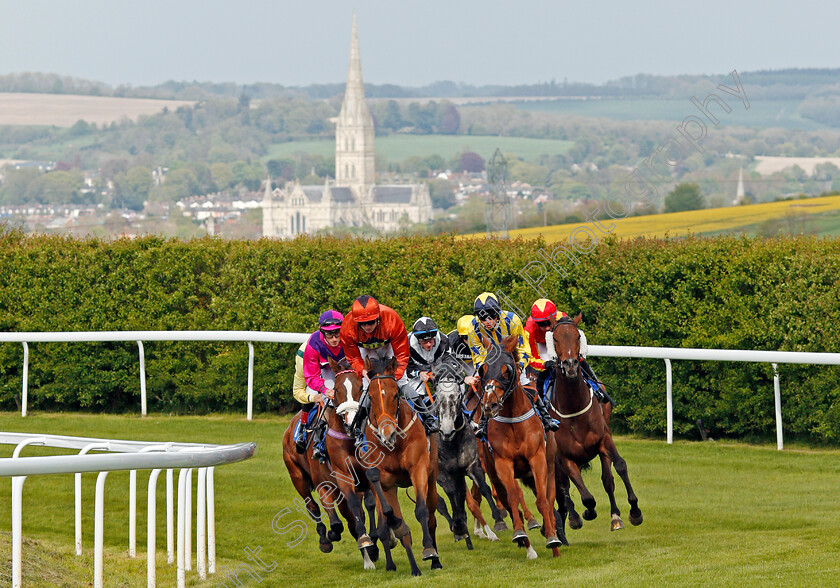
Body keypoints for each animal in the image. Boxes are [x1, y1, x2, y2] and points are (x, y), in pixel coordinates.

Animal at [362, 356, 442, 576]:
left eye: (396, 394)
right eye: (370, 397)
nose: (386, 433)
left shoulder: (418, 468)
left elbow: (422, 511)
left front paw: (429, 550)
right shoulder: (385, 480)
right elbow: (387, 514)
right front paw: (396, 529)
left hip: (432, 478)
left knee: (431, 516)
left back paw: (435, 560)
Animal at [544, 314, 644, 536]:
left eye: (577, 336)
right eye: (554, 338)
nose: (571, 365)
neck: (574, 407)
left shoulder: (604, 439)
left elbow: (619, 467)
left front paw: (634, 511)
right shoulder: (564, 457)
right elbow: (585, 496)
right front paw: (585, 513)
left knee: (607, 479)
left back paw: (615, 517)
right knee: (562, 486)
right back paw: (573, 516)